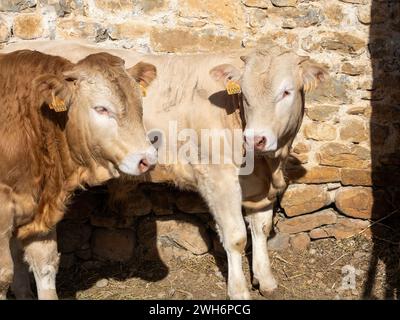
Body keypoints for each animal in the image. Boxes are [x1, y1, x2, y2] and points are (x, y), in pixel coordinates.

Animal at [0, 48, 157, 298]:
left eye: (139, 103)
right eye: (101, 108)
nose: (148, 159)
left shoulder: (39, 211)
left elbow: (44, 265)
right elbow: (4, 275)